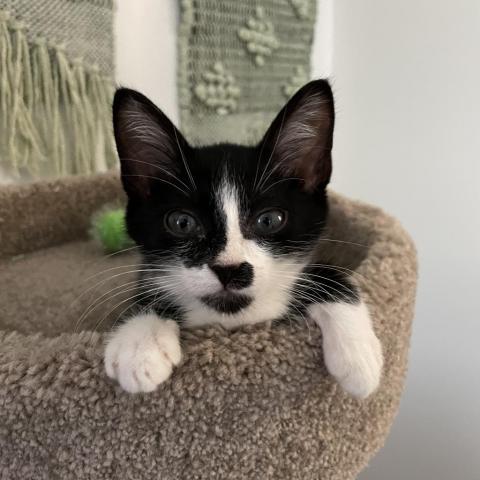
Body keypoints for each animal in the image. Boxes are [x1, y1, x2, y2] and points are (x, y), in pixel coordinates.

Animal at [104, 80, 382, 400]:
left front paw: (359, 358)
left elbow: (327, 274)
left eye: (269, 220)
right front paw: (140, 342)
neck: (233, 322)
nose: (230, 269)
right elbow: (145, 293)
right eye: (182, 223)